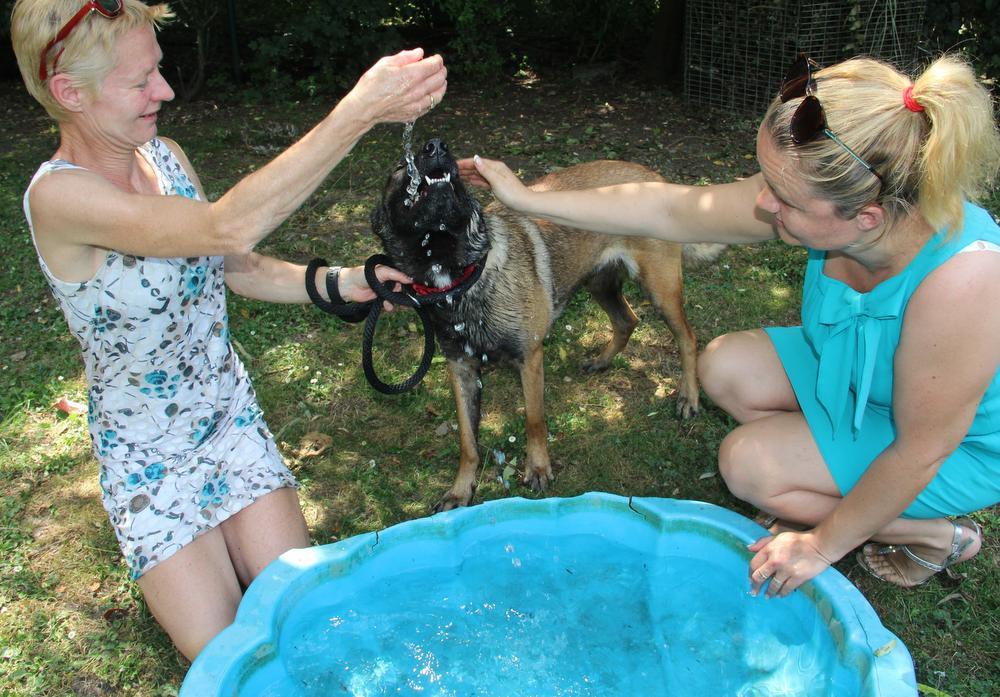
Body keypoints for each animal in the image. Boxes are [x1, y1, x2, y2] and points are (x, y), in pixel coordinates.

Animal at [372, 140, 724, 512]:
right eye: (401, 166)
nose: (436, 147)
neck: (458, 279)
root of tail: (652, 175)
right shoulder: (461, 368)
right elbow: (467, 441)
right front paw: (460, 489)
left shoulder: (530, 358)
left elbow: (534, 421)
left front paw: (538, 468)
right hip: (600, 284)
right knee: (628, 320)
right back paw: (602, 361)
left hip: (660, 290)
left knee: (687, 338)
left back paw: (689, 397)